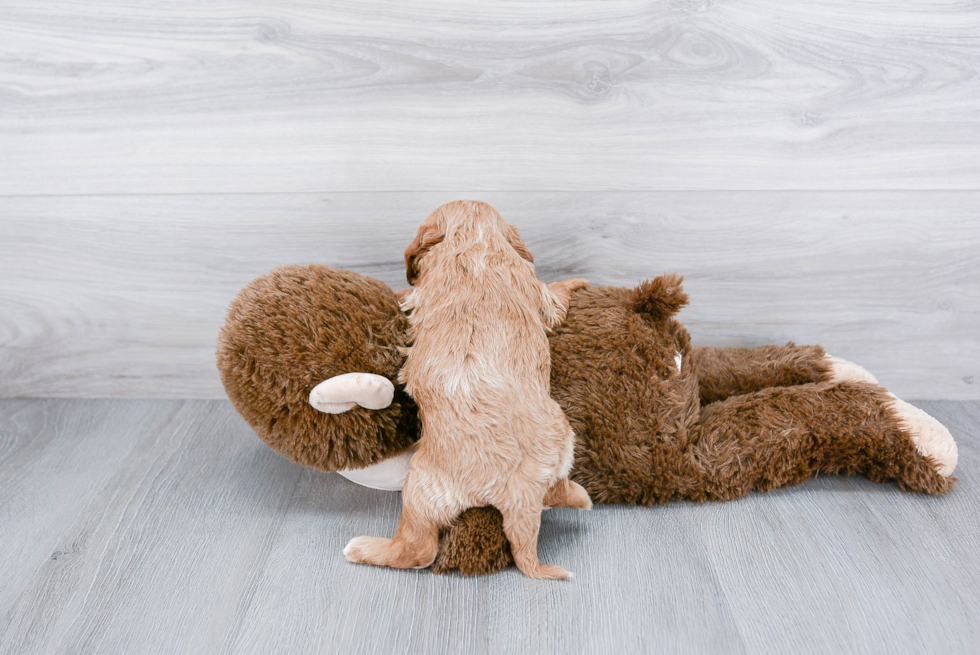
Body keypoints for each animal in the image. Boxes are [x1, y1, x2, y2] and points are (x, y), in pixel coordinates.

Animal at [344, 200, 588, 580]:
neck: (475, 240)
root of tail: (516, 495)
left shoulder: (424, 292)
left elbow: (555, 296)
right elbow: (554, 297)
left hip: (420, 488)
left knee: (417, 549)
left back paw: (362, 548)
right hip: (562, 446)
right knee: (558, 492)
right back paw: (579, 496)